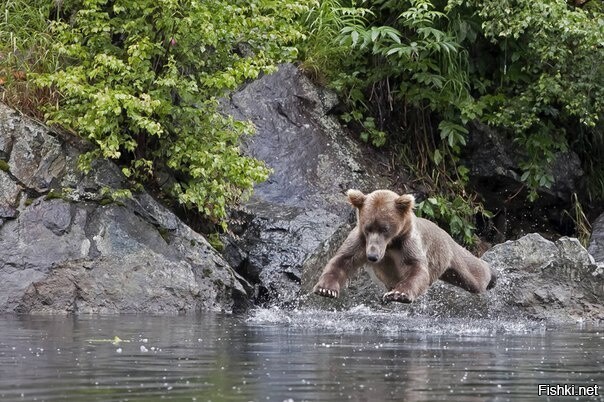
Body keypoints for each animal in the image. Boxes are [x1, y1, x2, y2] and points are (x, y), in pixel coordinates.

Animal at [312, 190, 496, 304]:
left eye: (385, 228)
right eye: (368, 227)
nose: (372, 256)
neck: (390, 244)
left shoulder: (408, 242)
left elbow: (417, 268)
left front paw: (399, 294)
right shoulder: (361, 241)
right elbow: (342, 259)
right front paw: (326, 289)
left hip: (449, 253)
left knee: (475, 274)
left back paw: (492, 275)